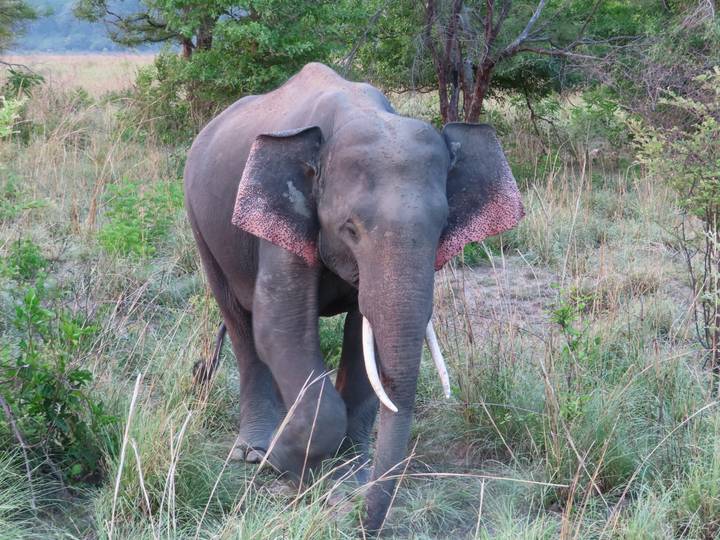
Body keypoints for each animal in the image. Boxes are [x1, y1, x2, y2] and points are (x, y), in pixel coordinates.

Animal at [183, 62, 524, 532]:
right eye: (350, 228)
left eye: (442, 227)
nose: (362, 525)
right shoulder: (287, 209)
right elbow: (281, 327)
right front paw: (282, 463)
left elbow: (365, 342)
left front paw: (350, 475)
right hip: (201, 224)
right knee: (240, 323)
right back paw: (253, 450)